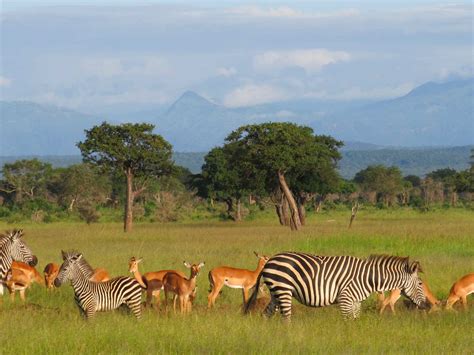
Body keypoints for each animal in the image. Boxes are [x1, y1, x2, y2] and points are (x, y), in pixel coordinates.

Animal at [246, 252, 428, 322]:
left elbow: (355, 320)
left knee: (266, 315)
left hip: (276, 293)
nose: (427, 305)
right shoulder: (345, 299)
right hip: (283, 290)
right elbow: (347, 322)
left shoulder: (356, 301)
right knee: (286, 319)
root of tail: (269, 261)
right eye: (420, 284)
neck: (368, 278)